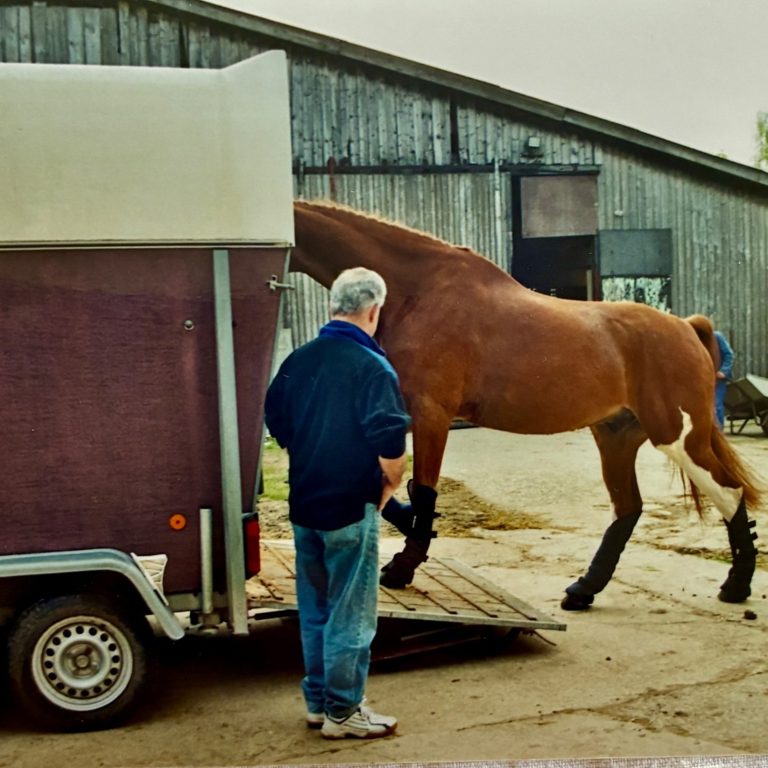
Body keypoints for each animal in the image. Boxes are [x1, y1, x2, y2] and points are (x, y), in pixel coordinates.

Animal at [290, 200, 762, 610]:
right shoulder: (395, 417)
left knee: (729, 494)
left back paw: (736, 587)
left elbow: (422, 491)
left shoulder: (429, 415)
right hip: (617, 437)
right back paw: (583, 590)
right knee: (628, 509)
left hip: (677, 436)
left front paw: (403, 566)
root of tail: (686, 326)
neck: (418, 291)